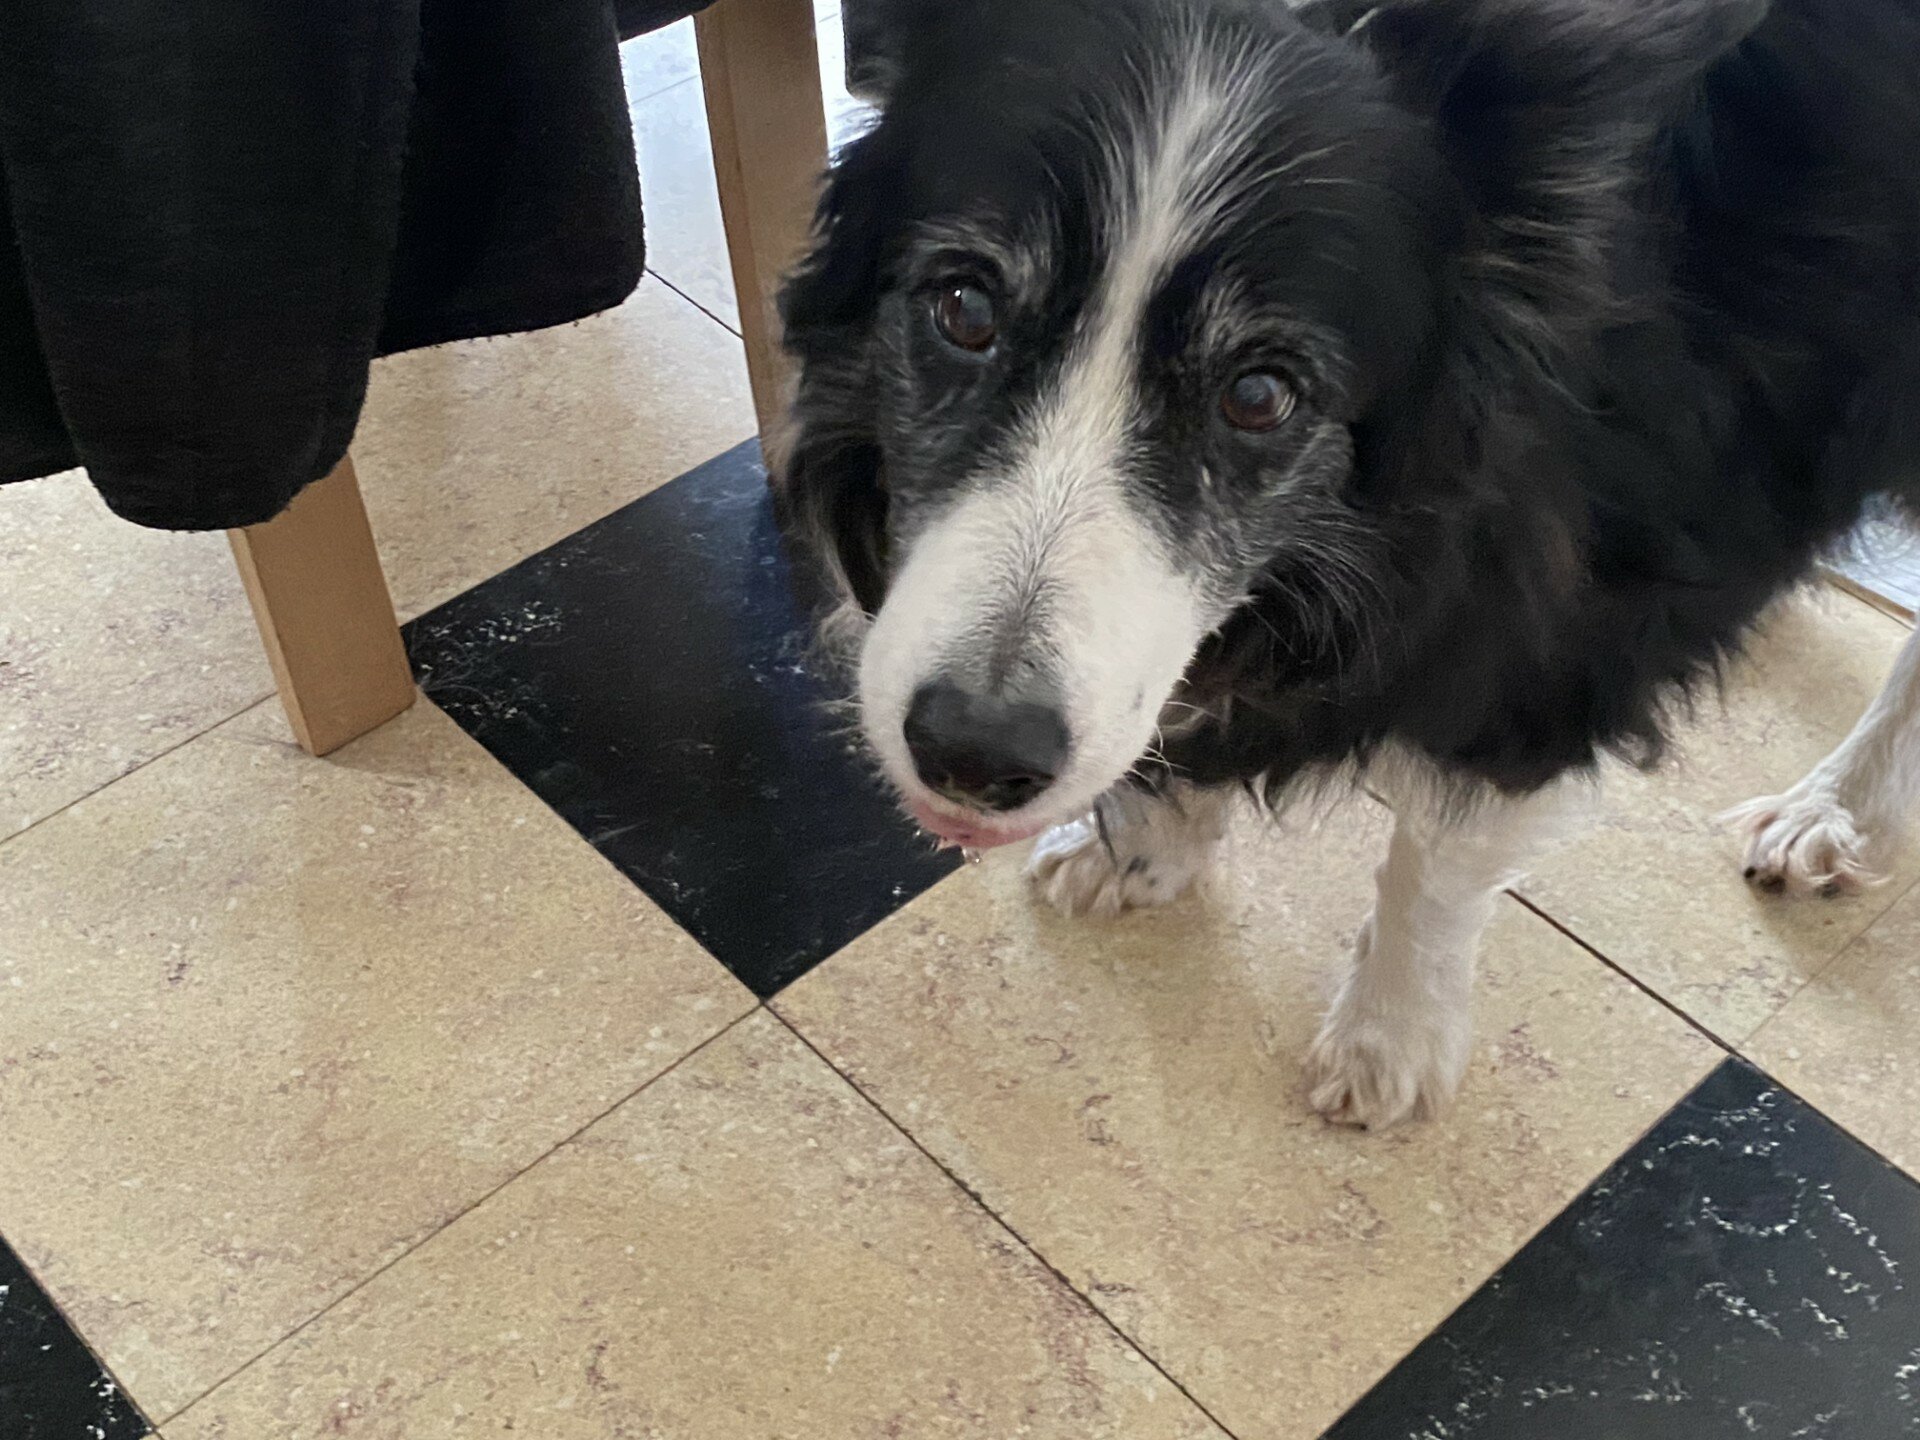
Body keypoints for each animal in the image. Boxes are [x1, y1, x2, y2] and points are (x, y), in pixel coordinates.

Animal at [774, 0, 1920, 1128]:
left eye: (1259, 396)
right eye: (964, 308)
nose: (972, 754)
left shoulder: (1550, 635)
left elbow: (1439, 858)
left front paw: (1387, 1045)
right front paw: (1141, 847)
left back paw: (1833, 810)